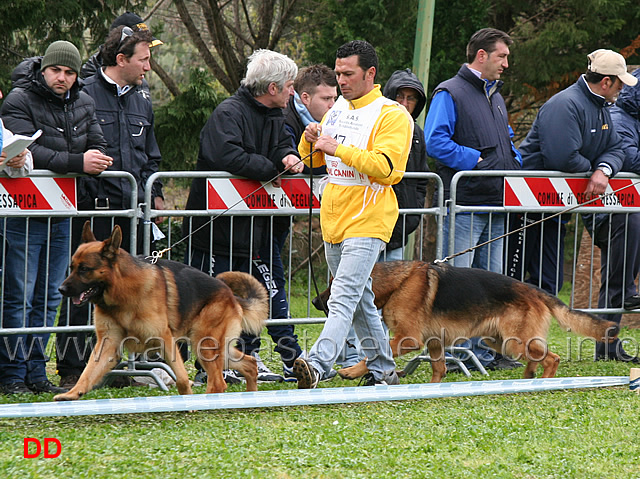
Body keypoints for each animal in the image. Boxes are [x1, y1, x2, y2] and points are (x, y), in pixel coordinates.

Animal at [52, 224, 268, 402]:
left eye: (84, 269)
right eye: (72, 268)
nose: (61, 289)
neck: (123, 291)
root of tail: (231, 295)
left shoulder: (165, 339)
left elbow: (181, 378)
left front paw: (188, 402)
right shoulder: (108, 344)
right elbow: (88, 372)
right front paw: (73, 393)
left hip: (205, 345)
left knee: (218, 382)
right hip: (214, 347)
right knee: (249, 364)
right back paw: (250, 398)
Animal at [316, 260, 620, 384]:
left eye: (333, 286)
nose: (316, 303)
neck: (397, 283)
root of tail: (533, 289)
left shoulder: (407, 339)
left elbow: (373, 355)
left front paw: (351, 371)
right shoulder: (434, 343)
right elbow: (438, 369)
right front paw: (434, 388)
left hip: (514, 342)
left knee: (552, 358)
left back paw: (542, 383)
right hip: (499, 341)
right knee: (538, 358)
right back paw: (526, 379)